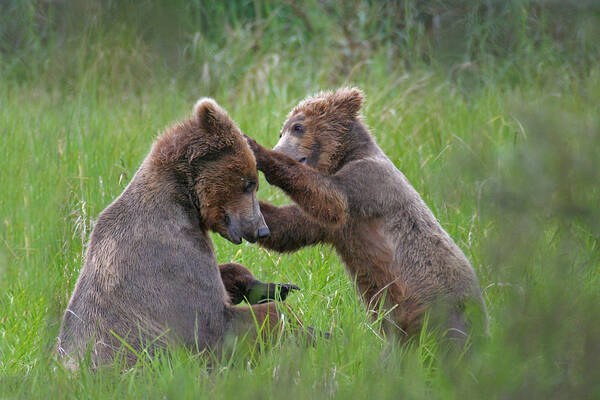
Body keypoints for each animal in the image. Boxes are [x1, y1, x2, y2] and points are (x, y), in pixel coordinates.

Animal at [56, 97, 300, 368]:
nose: (261, 229)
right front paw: (300, 325)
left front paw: (271, 286)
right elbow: (214, 322)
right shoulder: (169, 255)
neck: (185, 202)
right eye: (249, 183)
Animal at [247, 89, 488, 342]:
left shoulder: (369, 184)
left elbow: (332, 198)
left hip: (441, 304)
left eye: (297, 127)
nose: (278, 148)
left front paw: (257, 149)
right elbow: (289, 226)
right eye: (281, 131)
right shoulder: (334, 226)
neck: (342, 158)